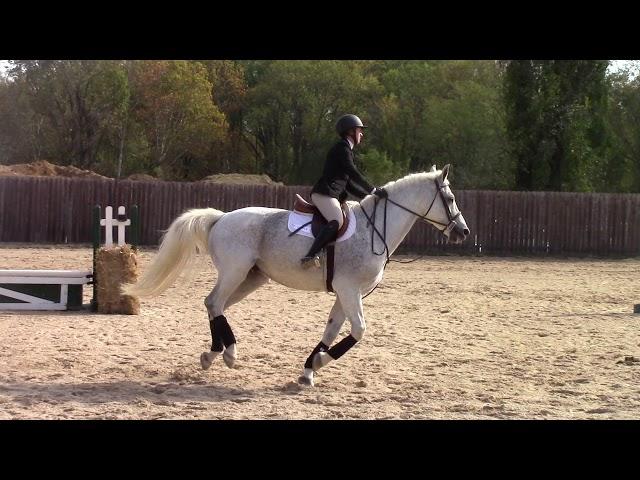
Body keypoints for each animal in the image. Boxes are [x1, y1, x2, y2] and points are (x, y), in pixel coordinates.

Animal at [122, 165, 468, 386]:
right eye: (450, 199)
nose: (463, 232)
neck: (374, 229)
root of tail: (221, 218)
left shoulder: (345, 293)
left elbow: (332, 331)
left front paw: (308, 371)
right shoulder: (349, 289)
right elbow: (358, 331)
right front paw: (318, 363)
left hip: (251, 278)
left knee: (213, 305)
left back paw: (213, 355)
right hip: (235, 272)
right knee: (215, 302)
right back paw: (230, 353)